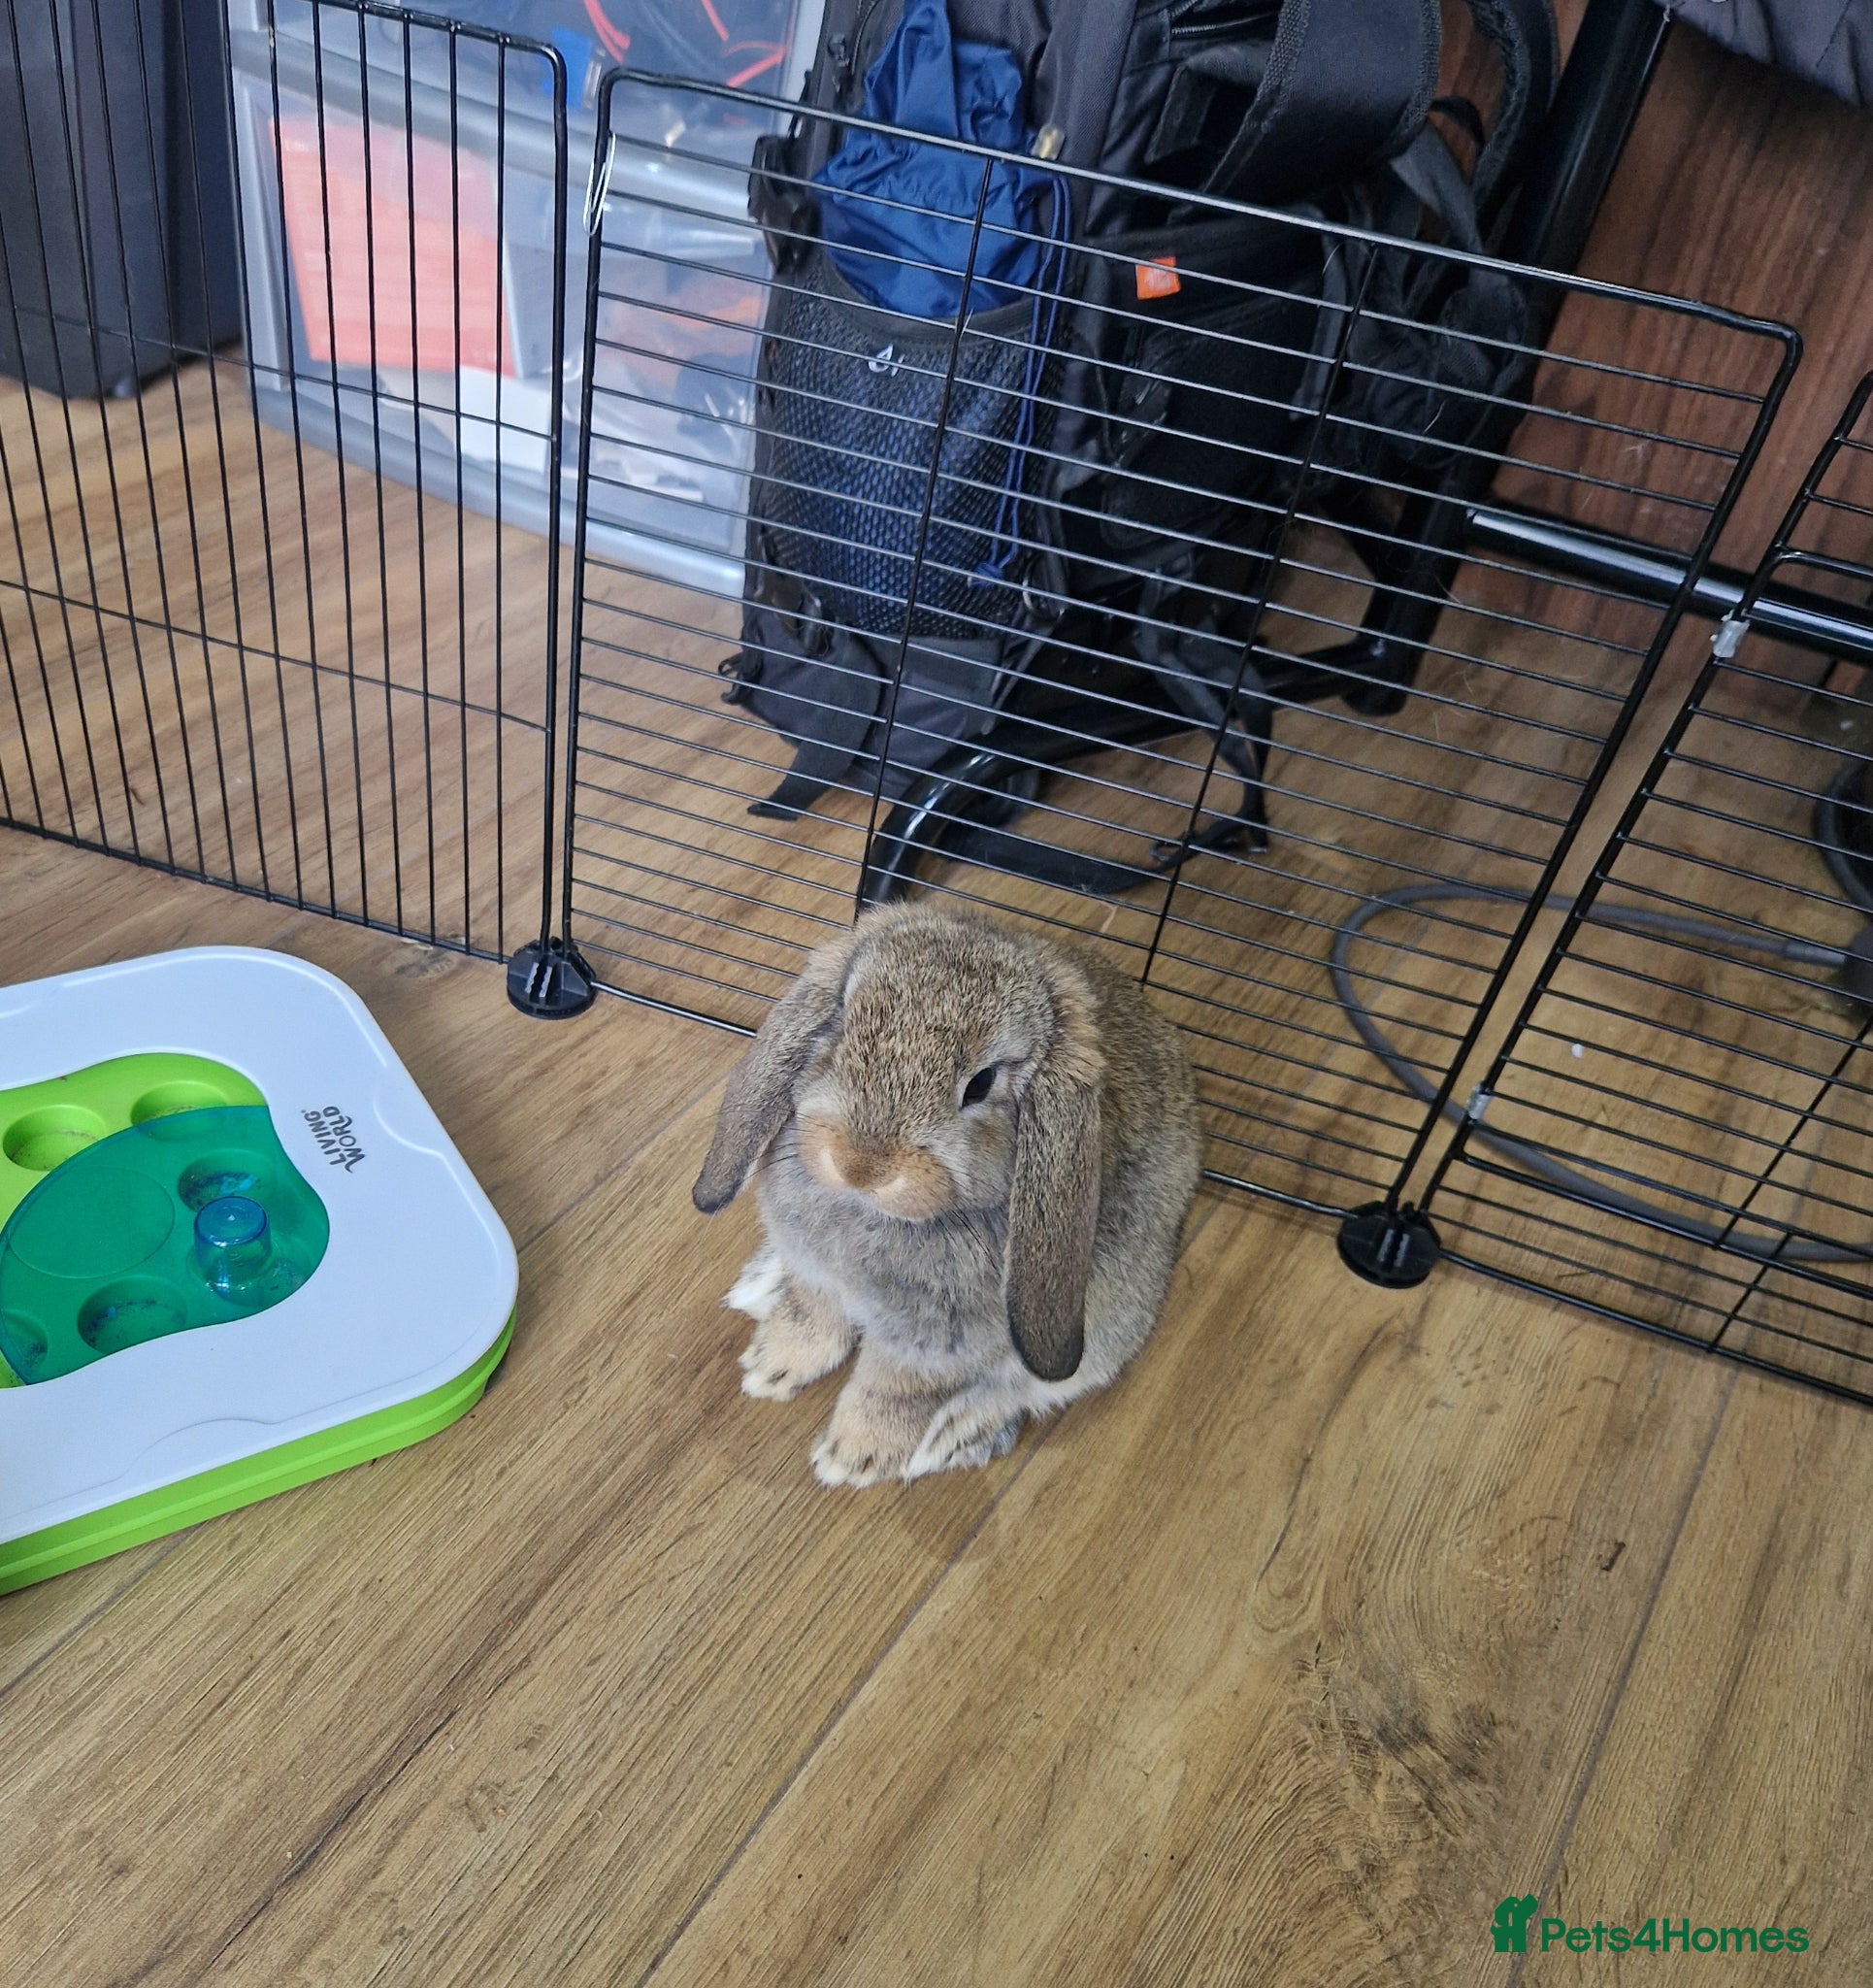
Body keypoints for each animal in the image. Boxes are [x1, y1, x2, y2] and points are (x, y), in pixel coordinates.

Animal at [691, 901, 1203, 1487]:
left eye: (980, 1084)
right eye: (842, 1029)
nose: (860, 1164)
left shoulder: (932, 1351)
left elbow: (894, 1394)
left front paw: (852, 1459)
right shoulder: (817, 1282)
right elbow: (811, 1319)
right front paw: (771, 1368)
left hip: (1107, 1323)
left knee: (1024, 1391)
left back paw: (954, 1435)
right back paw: (758, 1286)